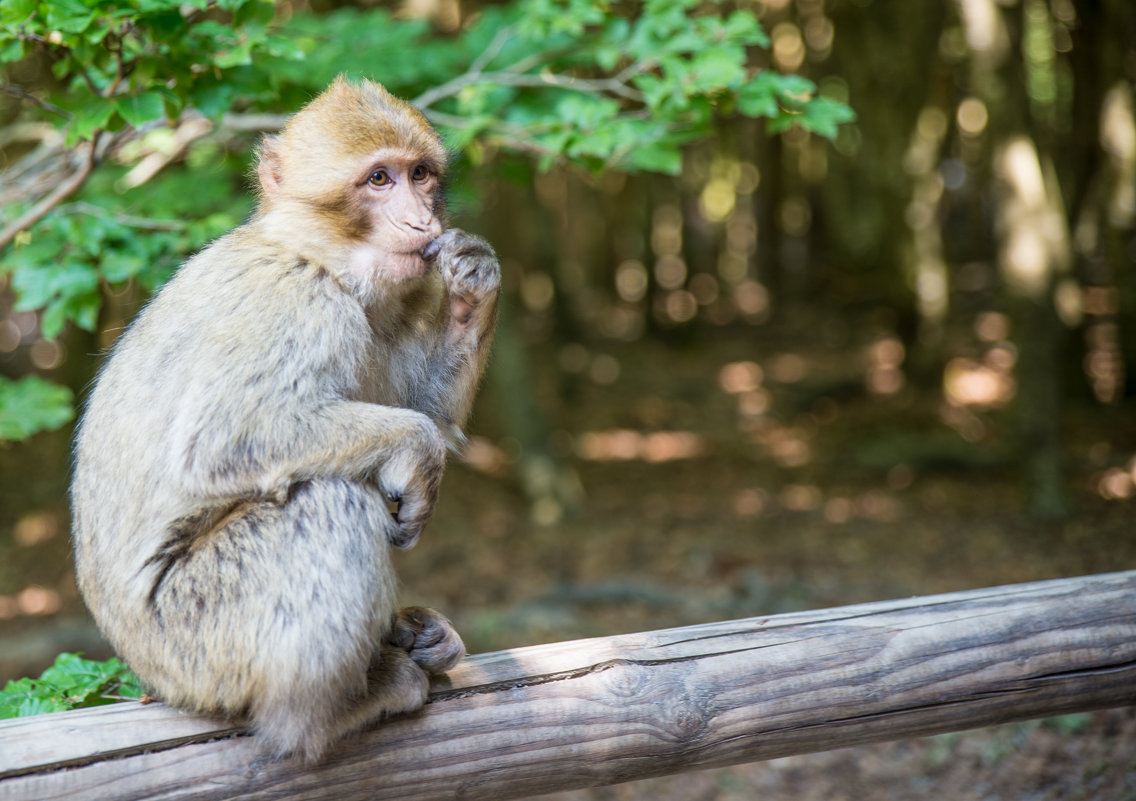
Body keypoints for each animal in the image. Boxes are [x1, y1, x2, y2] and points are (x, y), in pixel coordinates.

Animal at [68, 78, 499, 758]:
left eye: (420, 175)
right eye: (379, 179)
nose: (423, 221)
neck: (318, 255)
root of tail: (151, 678)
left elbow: (422, 404)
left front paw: (472, 285)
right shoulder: (298, 301)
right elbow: (224, 441)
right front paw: (420, 451)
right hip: (200, 637)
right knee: (328, 502)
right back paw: (325, 714)